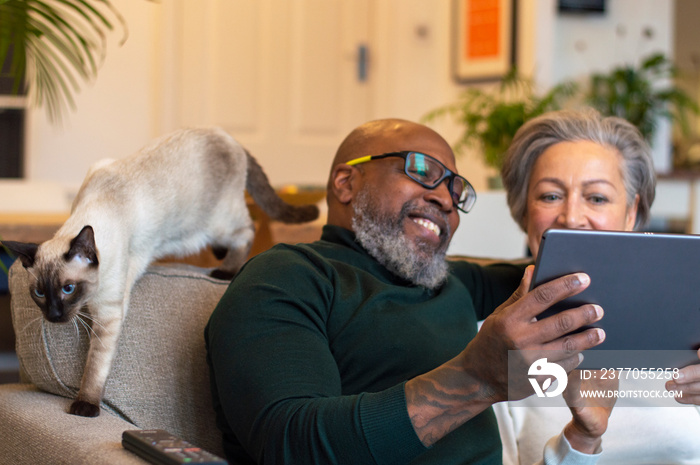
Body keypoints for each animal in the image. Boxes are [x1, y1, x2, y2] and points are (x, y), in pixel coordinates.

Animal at [2, 127, 318, 416]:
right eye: (39, 293)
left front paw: (85, 406)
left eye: (68, 289)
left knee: (247, 230)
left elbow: (95, 366)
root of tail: (229, 136)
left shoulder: (108, 314)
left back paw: (225, 270)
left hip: (216, 223)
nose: (54, 316)